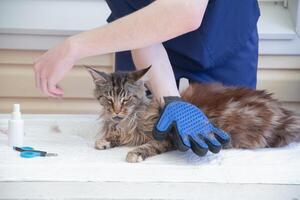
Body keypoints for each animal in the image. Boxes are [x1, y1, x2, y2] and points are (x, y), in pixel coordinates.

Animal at [86, 66, 300, 163]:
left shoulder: (168, 137)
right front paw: (105, 140)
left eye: (126, 99)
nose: (116, 110)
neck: (130, 120)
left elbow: (149, 145)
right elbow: (116, 135)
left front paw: (135, 153)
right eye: (108, 99)